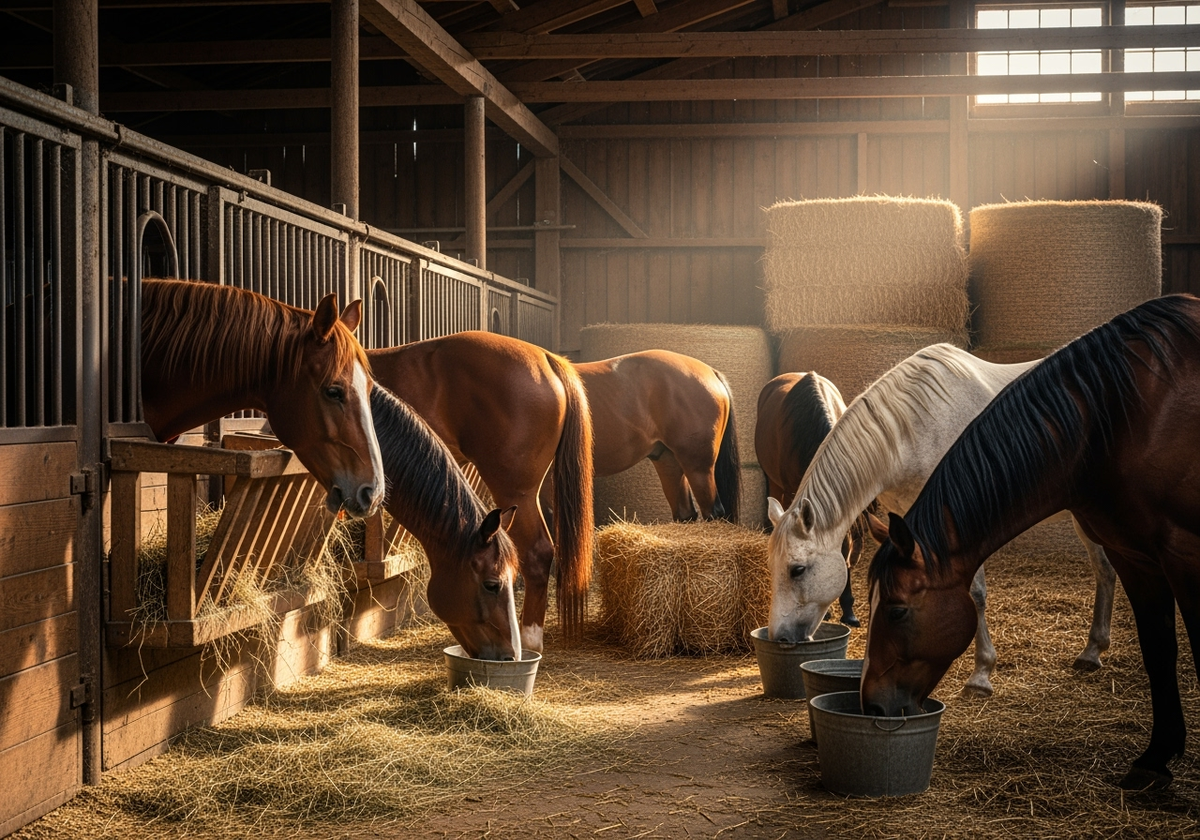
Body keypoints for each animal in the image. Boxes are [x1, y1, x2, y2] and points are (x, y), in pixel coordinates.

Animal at [767, 343, 1117, 697]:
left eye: (797, 570)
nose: (779, 637)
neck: (914, 431)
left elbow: (976, 595)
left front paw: (981, 675)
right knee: (1104, 569)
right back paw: (1092, 651)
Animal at [863, 294, 1200, 790]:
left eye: (897, 610)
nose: (871, 705)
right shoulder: (1136, 556)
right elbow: (1159, 650)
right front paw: (1155, 759)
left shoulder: (1183, 554)